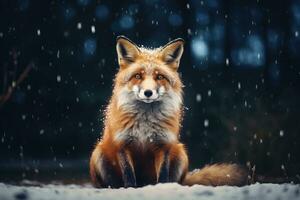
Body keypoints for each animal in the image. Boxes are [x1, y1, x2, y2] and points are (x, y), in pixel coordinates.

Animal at [89, 35, 248, 188]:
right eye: (138, 76)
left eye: (159, 76)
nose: (148, 92)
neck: (145, 122)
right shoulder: (122, 144)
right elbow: (128, 174)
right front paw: (129, 188)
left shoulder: (163, 144)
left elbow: (163, 174)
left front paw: (163, 187)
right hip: (98, 153)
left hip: (181, 153)